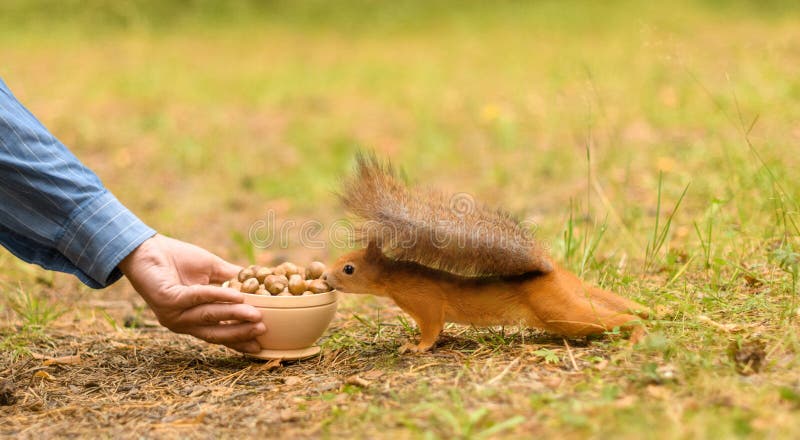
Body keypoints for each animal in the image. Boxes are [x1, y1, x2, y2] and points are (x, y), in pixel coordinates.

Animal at [324, 152, 650, 352]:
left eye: (348, 268)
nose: (326, 279)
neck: (394, 278)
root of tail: (553, 271)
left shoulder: (426, 302)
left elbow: (431, 330)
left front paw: (415, 347)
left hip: (561, 313)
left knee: (610, 320)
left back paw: (636, 333)